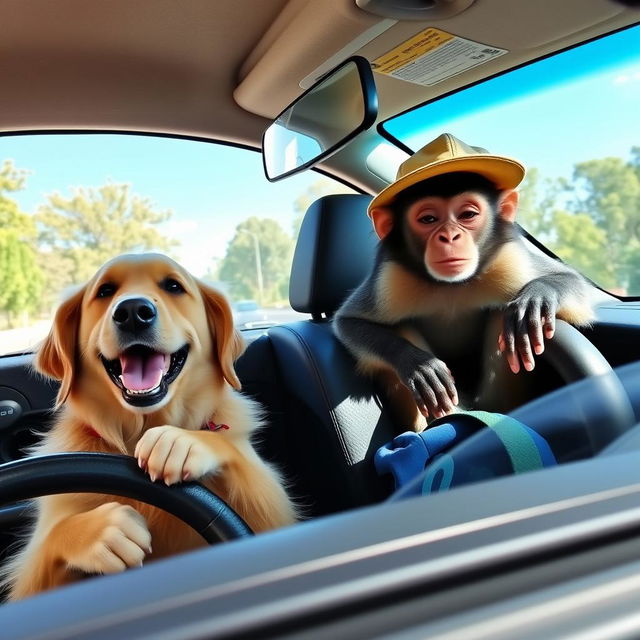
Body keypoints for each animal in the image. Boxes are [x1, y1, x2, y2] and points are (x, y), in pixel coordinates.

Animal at [1, 254, 298, 600]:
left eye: (173, 286)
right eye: (105, 291)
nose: (132, 312)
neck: (139, 431)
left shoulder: (274, 512)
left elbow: (235, 455)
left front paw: (181, 442)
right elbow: (51, 543)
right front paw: (99, 531)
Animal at [336, 134, 596, 430]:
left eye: (467, 215)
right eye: (428, 219)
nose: (449, 237)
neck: (451, 286)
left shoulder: (510, 258)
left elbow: (573, 281)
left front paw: (538, 296)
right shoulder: (390, 278)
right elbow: (348, 322)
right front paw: (417, 364)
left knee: (502, 316)